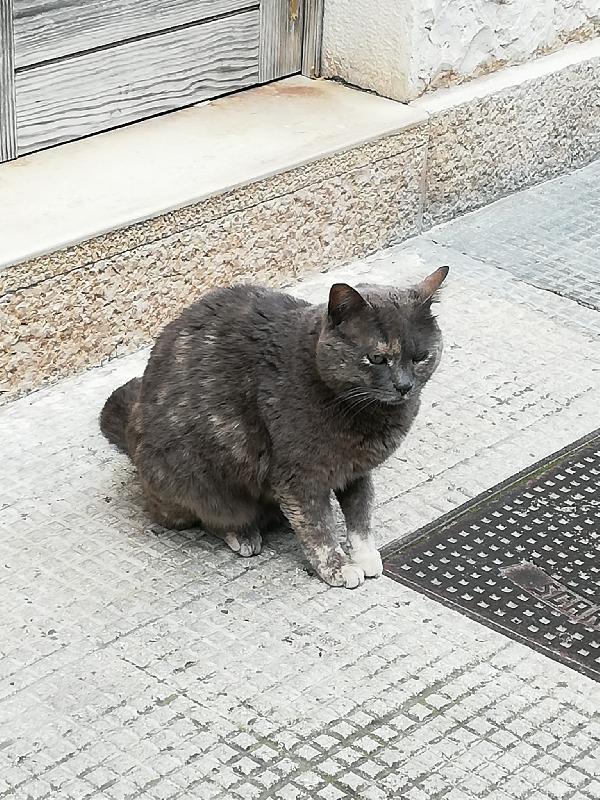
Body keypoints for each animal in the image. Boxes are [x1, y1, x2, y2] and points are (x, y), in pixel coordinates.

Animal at [99, 268, 446, 588]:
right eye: (376, 358)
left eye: (420, 357)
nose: (404, 386)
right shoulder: (298, 476)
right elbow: (318, 527)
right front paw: (338, 567)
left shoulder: (356, 471)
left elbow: (361, 516)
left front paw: (366, 556)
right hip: (191, 480)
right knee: (206, 515)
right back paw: (242, 534)